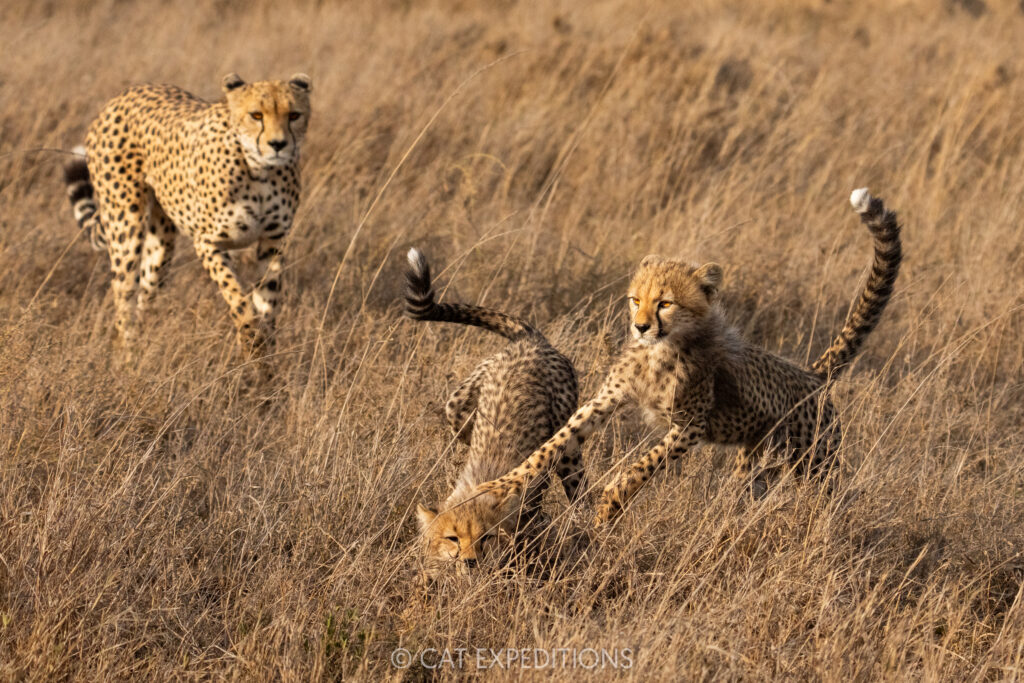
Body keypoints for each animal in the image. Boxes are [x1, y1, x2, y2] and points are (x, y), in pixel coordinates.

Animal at [62, 72, 312, 354]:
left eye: (294, 115)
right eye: (256, 115)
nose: (278, 144)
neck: (258, 170)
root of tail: (123, 95)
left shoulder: (273, 240)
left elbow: (268, 299)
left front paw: (265, 353)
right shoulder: (208, 243)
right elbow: (236, 294)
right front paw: (250, 335)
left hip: (161, 247)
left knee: (144, 299)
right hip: (126, 226)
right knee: (123, 307)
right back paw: (126, 358)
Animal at [404, 248, 584, 579]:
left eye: (485, 538)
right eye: (453, 537)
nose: (470, 562)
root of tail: (532, 342)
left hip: (567, 446)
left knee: (580, 491)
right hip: (457, 409)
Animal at [476, 187, 903, 526]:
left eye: (665, 303)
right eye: (636, 300)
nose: (640, 327)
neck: (660, 350)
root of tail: (812, 375)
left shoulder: (690, 426)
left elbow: (643, 465)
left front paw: (610, 503)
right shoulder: (606, 399)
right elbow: (555, 442)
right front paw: (502, 483)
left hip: (817, 461)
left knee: (832, 497)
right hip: (757, 459)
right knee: (748, 488)